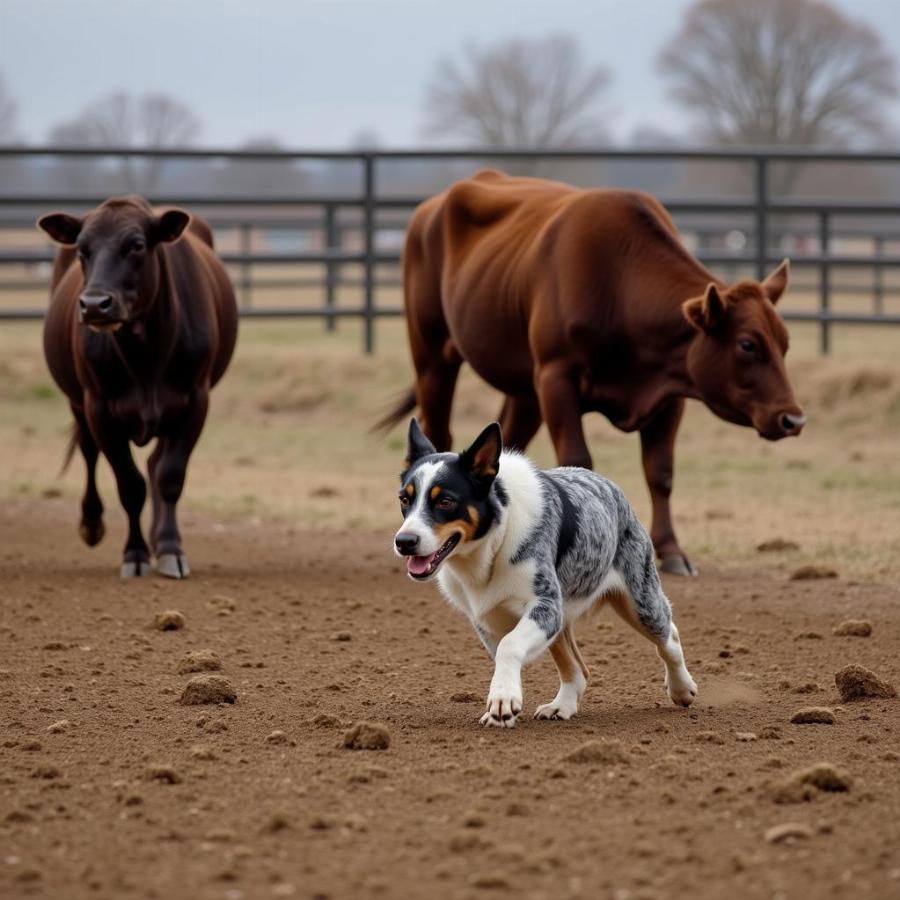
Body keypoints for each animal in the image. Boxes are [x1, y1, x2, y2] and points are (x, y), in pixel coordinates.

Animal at [38, 196, 237, 576]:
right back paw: (92, 524)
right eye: (83, 249)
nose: (95, 304)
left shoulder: (195, 402)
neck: (147, 355)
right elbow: (129, 486)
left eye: (137, 245)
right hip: (78, 403)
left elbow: (170, 477)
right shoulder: (99, 409)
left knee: (156, 464)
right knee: (89, 453)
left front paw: (171, 549)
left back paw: (159, 538)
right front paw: (134, 554)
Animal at [378, 171, 800, 576]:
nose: (793, 419)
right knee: (440, 425)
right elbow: (579, 459)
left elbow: (660, 473)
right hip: (434, 358)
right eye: (747, 344)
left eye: (784, 341)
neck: (619, 281)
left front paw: (672, 551)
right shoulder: (556, 379)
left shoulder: (669, 394)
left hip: (523, 391)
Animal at [392, 418, 696, 728]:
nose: (404, 542)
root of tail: (610, 487)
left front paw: (503, 700)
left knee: (669, 636)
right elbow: (503, 655)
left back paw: (681, 688)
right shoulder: (491, 621)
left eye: (445, 501)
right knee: (578, 670)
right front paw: (502, 709)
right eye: (404, 499)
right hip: (565, 618)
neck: (492, 545)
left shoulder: (545, 606)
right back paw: (562, 706)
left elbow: (510, 646)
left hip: (640, 601)